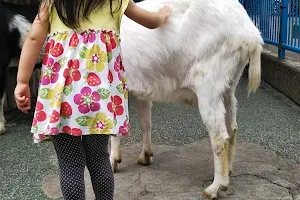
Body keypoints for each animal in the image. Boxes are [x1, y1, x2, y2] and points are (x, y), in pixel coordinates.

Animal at [110, 0, 262, 198]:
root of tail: (250, 34)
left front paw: (113, 162)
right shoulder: (143, 90)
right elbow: (146, 123)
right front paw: (145, 156)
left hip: (209, 84)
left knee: (219, 137)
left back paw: (215, 188)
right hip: (229, 86)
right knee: (232, 128)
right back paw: (227, 173)